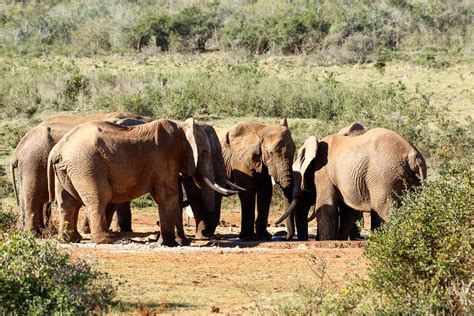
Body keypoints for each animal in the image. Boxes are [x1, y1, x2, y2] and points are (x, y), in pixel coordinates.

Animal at [46, 117, 235, 246]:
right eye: (205, 152)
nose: (206, 234)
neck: (181, 126)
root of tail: (57, 149)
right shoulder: (164, 158)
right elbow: (169, 196)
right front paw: (168, 244)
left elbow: (166, 197)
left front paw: (168, 242)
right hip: (86, 166)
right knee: (99, 198)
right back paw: (106, 240)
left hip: (66, 169)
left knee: (67, 202)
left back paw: (71, 239)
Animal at [274, 123, 426, 239]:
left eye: (297, 178)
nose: (277, 226)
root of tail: (413, 156)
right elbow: (348, 213)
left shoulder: (323, 173)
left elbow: (327, 209)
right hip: (409, 179)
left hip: (385, 176)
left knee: (384, 209)